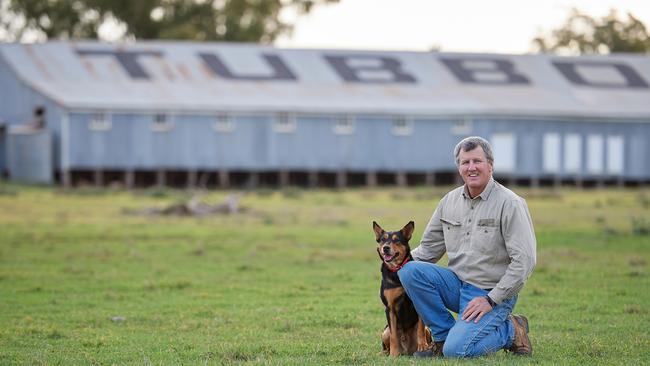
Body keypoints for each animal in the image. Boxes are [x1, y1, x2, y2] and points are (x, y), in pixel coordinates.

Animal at [370, 222, 430, 356]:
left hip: (428, 329)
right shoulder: (389, 308)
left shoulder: (419, 301)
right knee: (387, 343)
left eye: (396, 240)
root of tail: (407, 351)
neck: (398, 270)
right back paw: (385, 353)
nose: (385, 248)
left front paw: (423, 346)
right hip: (385, 331)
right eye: (382, 240)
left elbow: (420, 329)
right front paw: (394, 354)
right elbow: (393, 336)